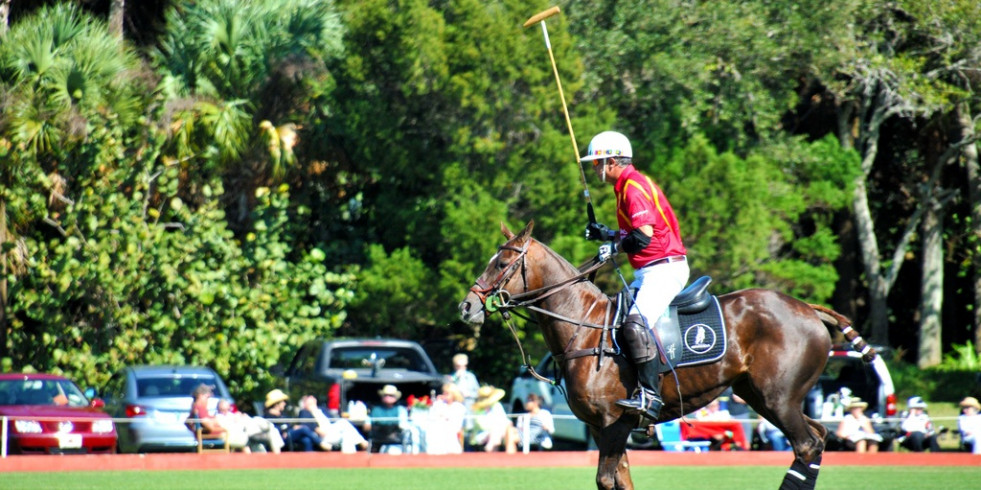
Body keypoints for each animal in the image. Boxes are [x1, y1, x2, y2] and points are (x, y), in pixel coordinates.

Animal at [456, 222, 876, 490]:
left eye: (502, 262)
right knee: (819, 436)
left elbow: (606, 479)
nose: (466, 307)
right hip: (762, 396)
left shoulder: (615, 422)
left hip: (778, 397)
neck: (584, 324)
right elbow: (621, 480)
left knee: (807, 444)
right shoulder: (604, 428)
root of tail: (808, 308)